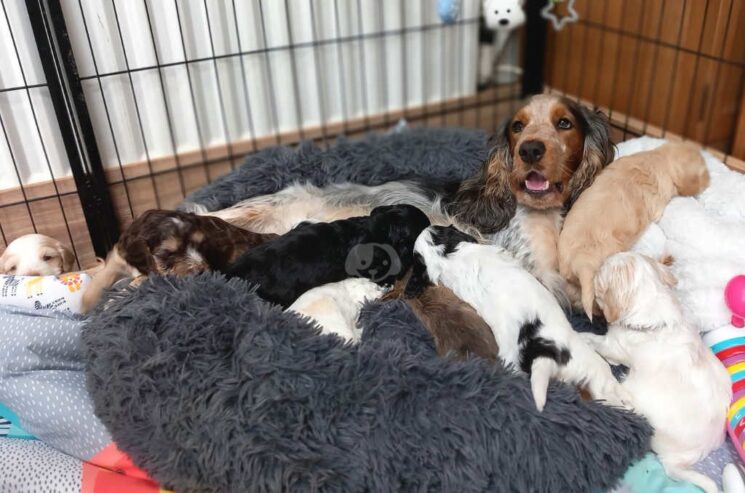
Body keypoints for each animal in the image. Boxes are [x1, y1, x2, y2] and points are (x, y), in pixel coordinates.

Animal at [81, 209, 274, 312]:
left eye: (201, 245)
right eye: (168, 254)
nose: (201, 271)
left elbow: (139, 281)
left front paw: (111, 301)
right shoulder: (119, 255)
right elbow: (104, 273)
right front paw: (85, 303)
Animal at [580, 254, 728, 492]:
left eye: (600, 273)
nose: (599, 263)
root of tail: (683, 458)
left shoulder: (614, 346)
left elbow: (594, 341)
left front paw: (580, 336)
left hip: (636, 398)